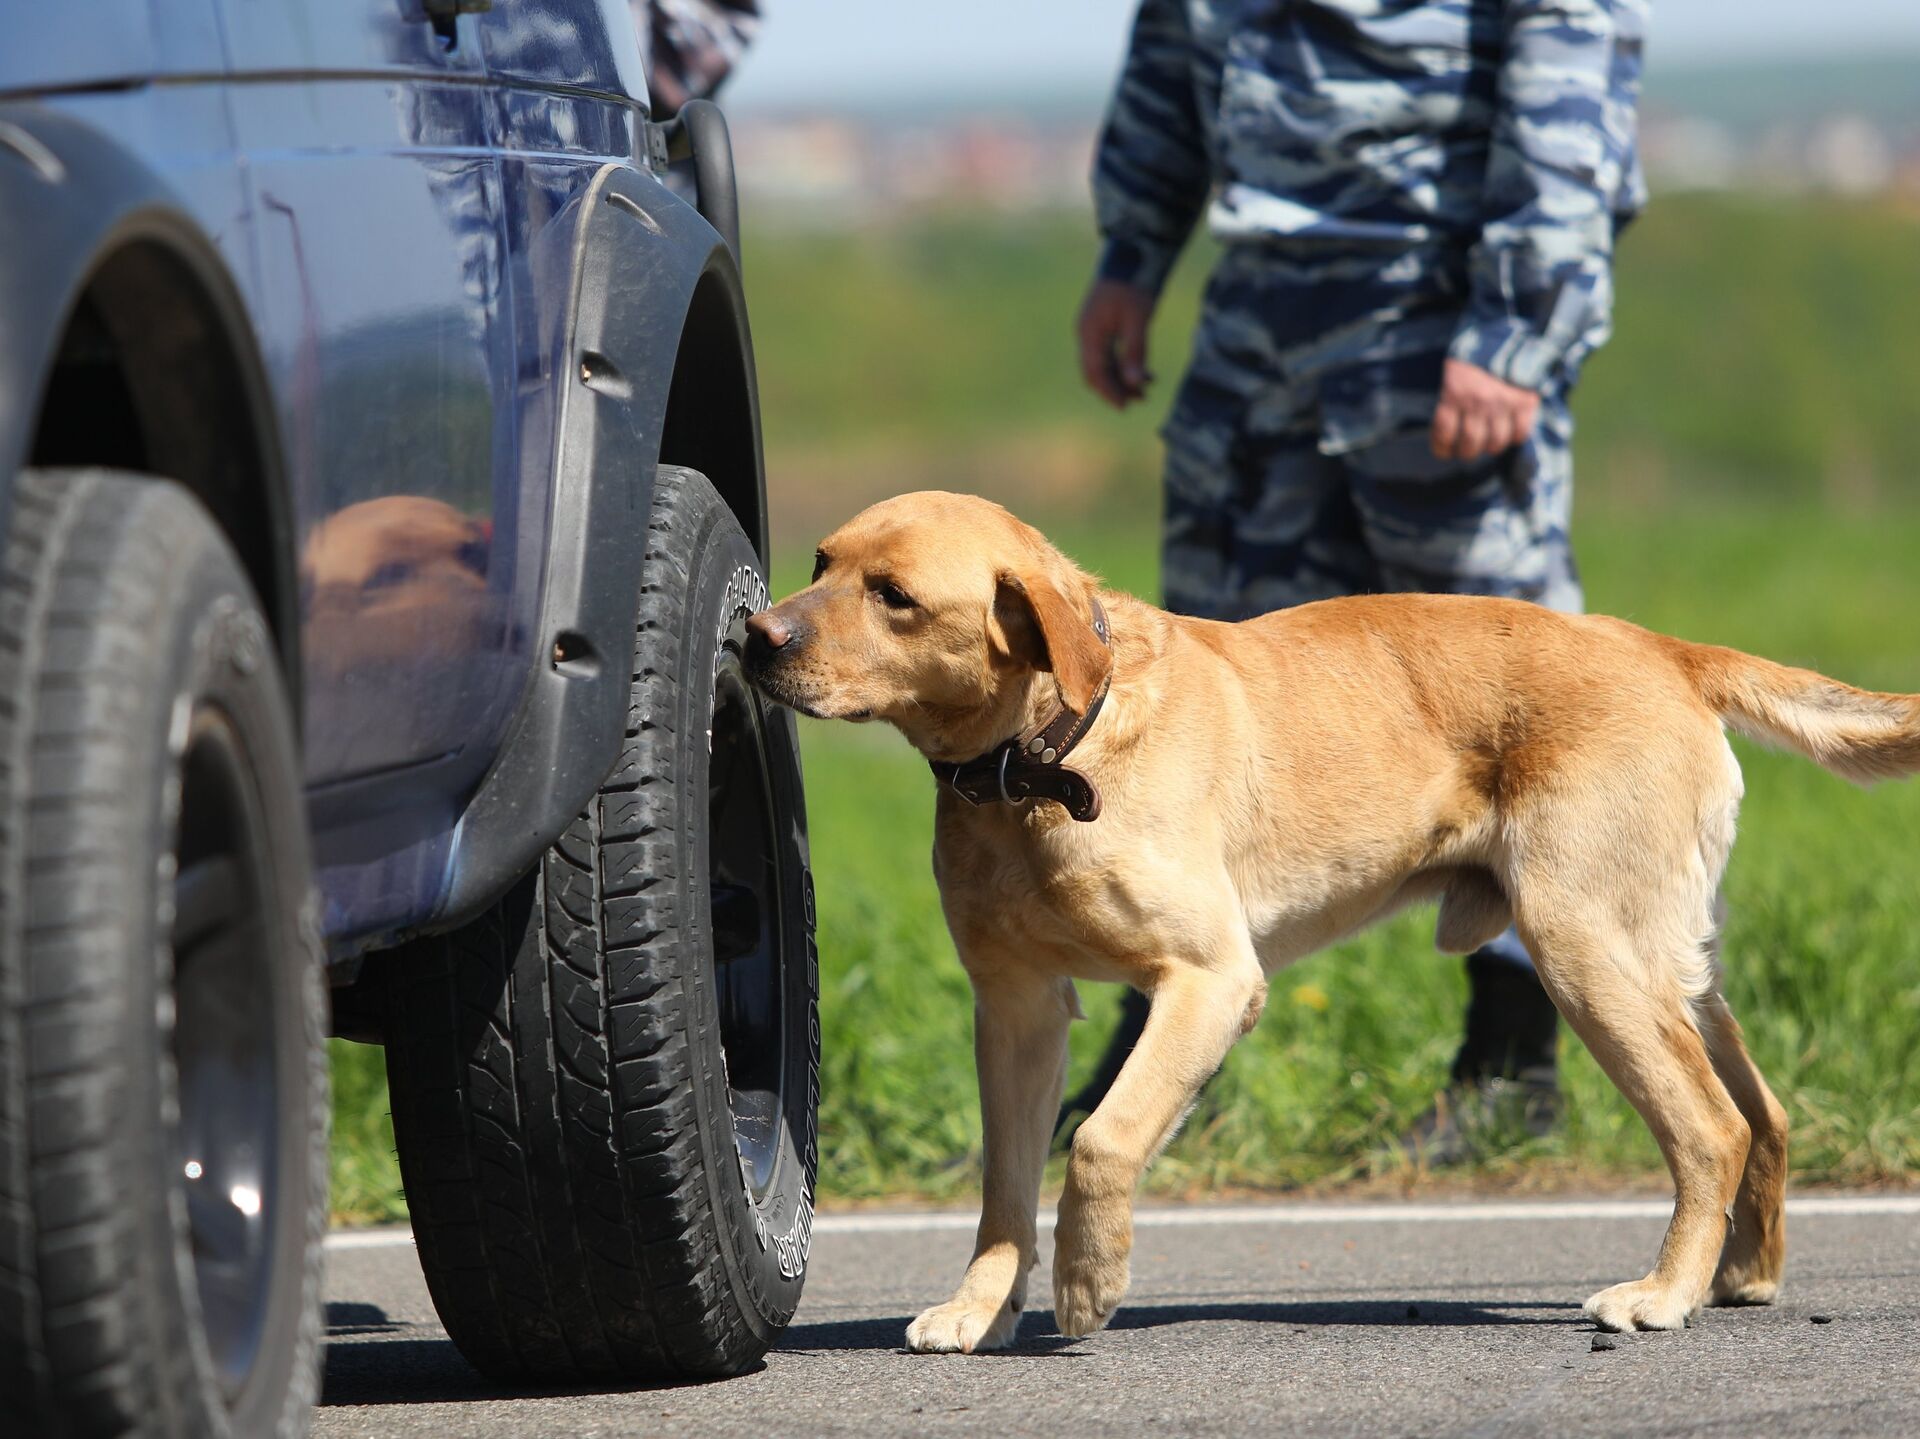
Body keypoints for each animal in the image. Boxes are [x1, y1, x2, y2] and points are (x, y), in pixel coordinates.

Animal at [741, 491, 1912, 1344]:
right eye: (820, 560)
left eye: (894, 595)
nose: (754, 634)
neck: (1041, 763)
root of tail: (1664, 648)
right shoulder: (1017, 1009)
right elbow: (1005, 1181)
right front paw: (982, 1306)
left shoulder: (1210, 979)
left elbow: (1104, 1139)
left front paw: (1088, 1281)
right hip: (1665, 955)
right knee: (1764, 1110)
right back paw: (1739, 1273)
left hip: (1587, 948)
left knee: (1711, 1126)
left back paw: (1663, 1292)